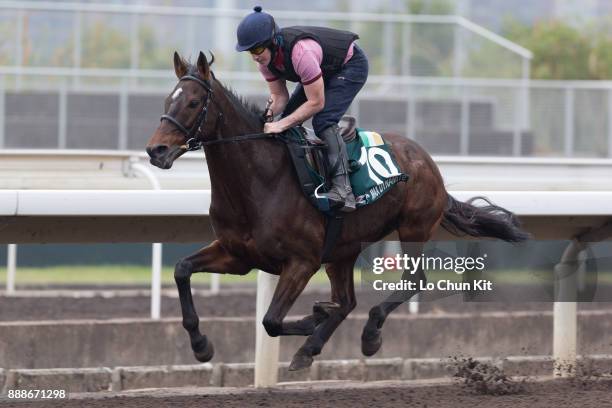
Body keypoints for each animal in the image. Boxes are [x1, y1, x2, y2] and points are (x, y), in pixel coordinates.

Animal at [145, 51, 524, 370]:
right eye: (167, 100)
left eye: (193, 102)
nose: (155, 150)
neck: (260, 180)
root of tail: (430, 165)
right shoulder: (237, 255)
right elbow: (181, 270)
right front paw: (201, 345)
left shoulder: (302, 261)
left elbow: (271, 321)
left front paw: (314, 315)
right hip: (343, 249)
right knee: (348, 301)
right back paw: (312, 347)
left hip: (413, 227)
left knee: (410, 281)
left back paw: (368, 334)